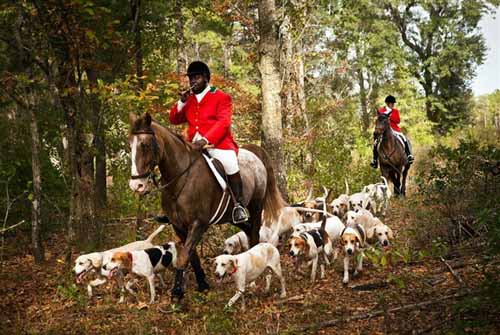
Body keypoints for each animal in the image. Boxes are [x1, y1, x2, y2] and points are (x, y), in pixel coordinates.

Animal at [128, 113, 286, 302]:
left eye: (144, 145)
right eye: (130, 144)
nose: (136, 185)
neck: (181, 179)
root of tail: (253, 153)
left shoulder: (198, 224)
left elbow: (184, 256)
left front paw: (177, 292)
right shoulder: (179, 226)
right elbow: (192, 255)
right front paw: (202, 284)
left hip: (255, 207)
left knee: (254, 233)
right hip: (230, 217)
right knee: (247, 230)